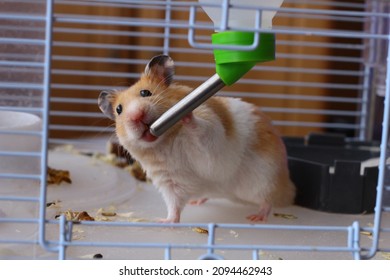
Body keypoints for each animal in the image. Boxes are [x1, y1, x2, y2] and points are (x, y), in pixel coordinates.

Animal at [98, 54, 296, 223]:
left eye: (145, 93)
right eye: (119, 110)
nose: (135, 117)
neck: (164, 142)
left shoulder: (211, 137)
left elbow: (202, 130)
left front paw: (185, 114)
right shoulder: (169, 180)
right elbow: (174, 205)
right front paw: (164, 221)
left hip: (266, 179)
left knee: (268, 201)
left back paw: (257, 217)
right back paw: (196, 202)